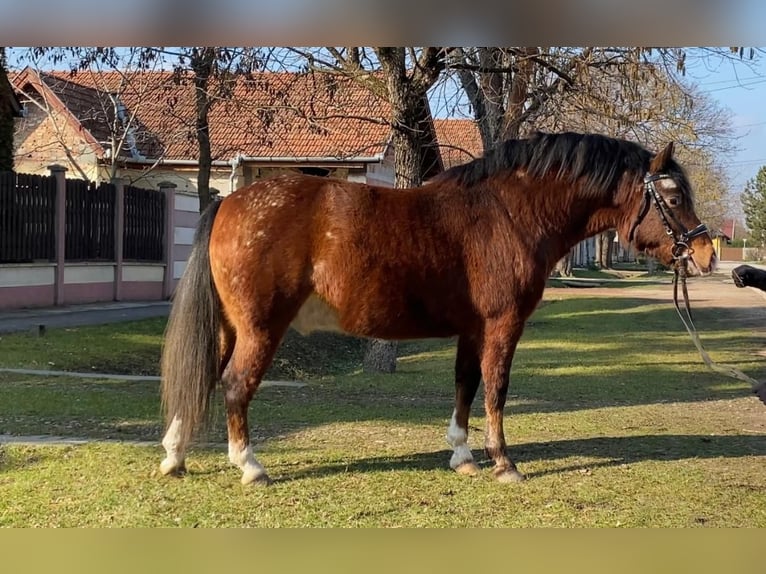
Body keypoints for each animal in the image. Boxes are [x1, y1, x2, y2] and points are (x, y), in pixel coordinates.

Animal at [158, 132, 720, 486]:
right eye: (672, 196)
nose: (706, 253)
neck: (508, 213)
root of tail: (229, 202)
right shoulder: (502, 326)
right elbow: (496, 389)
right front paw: (503, 463)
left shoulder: (472, 330)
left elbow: (465, 386)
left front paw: (464, 456)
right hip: (260, 328)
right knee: (235, 385)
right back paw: (250, 466)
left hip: (231, 326)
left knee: (203, 376)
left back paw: (175, 457)